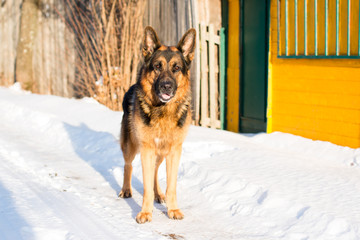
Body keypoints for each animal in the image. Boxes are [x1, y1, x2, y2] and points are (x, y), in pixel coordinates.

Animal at [119, 26, 195, 223]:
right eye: (157, 67)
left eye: (176, 68)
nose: (166, 86)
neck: (163, 111)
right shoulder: (147, 149)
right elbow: (146, 188)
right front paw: (145, 212)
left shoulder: (174, 151)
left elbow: (171, 186)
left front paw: (172, 209)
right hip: (131, 146)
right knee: (128, 165)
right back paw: (126, 189)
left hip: (161, 153)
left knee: (154, 171)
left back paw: (158, 194)